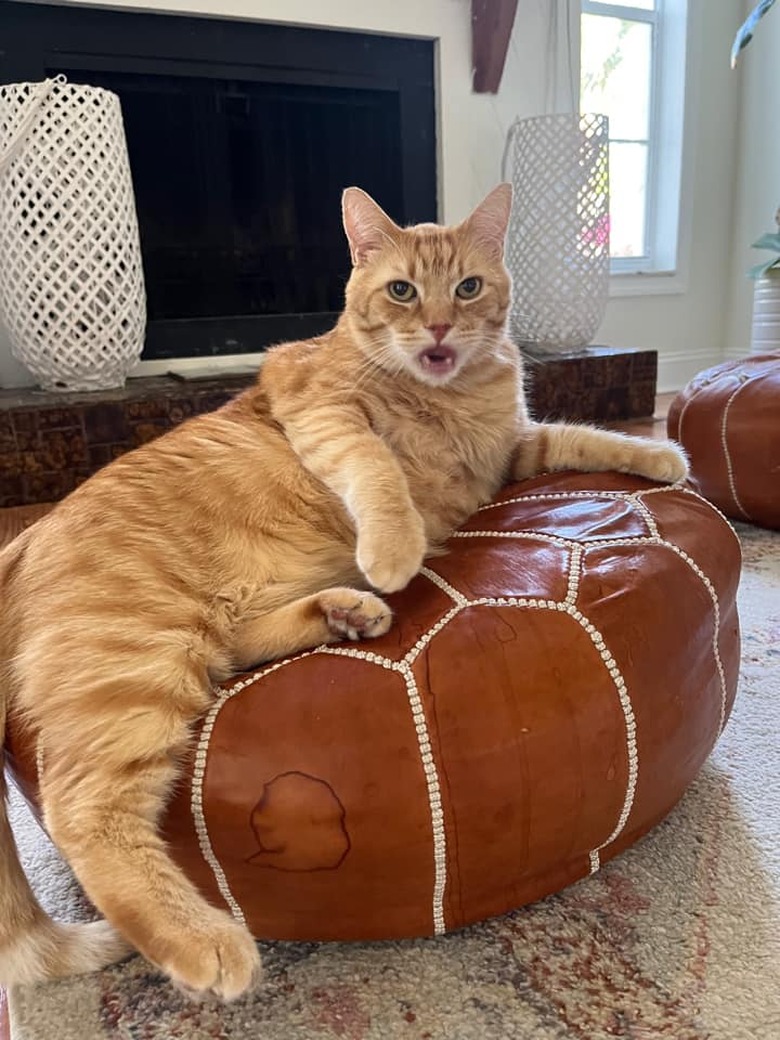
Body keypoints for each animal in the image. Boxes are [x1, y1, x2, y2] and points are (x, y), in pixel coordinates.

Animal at [0, 185, 682, 998]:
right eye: (402, 291)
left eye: (467, 287)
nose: (440, 325)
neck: (449, 397)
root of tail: (22, 541)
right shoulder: (325, 415)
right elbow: (376, 468)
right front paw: (394, 547)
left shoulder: (512, 453)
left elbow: (577, 435)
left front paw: (662, 455)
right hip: (140, 655)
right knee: (81, 812)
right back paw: (205, 944)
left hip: (186, 646)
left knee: (231, 651)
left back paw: (343, 611)